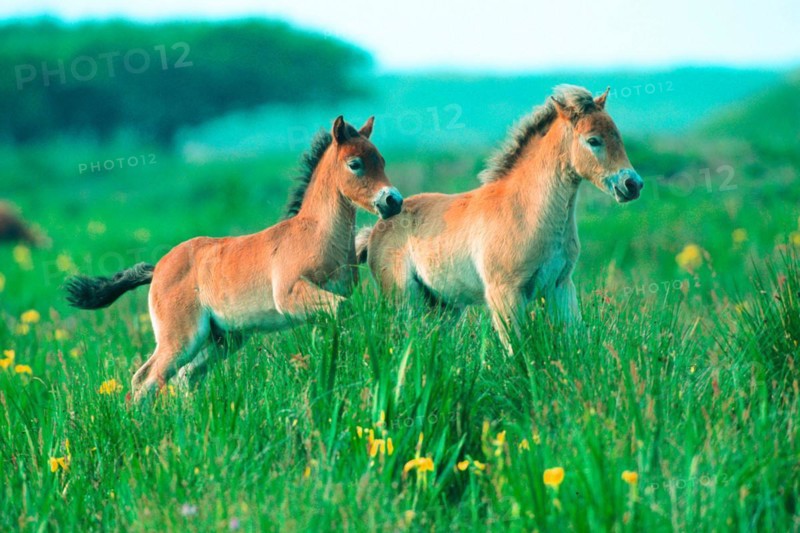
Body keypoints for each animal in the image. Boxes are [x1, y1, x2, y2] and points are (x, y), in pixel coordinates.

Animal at [64, 116, 404, 402]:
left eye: (382, 161)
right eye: (355, 164)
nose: (393, 201)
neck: (315, 233)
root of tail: (158, 268)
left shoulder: (320, 305)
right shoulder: (292, 295)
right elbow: (344, 310)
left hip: (225, 338)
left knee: (187, 376)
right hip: (181, 338)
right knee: (146, 379)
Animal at [355, 86, 643, 351]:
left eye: (618, 136)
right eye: (593, 140)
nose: (632, 185)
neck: (526, 211)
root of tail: (376, 229)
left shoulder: (560, 286)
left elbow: (576, 340)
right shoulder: (504, 293)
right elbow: (515, 350)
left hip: (443, 307)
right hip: (403, 300)